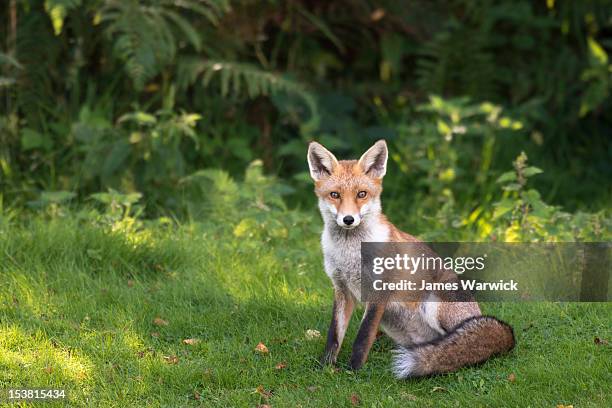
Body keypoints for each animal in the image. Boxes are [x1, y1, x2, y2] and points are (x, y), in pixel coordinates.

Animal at [308, 139, 512, 376]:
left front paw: (354, 371)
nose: (348, 219)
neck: (350, 253)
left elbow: (362, 337)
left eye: (361, 194)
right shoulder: (342, 289)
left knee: (460, 344)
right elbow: (333, 336)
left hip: (434, 305)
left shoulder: (379, 291)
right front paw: (325, 367)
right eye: (335, 195)